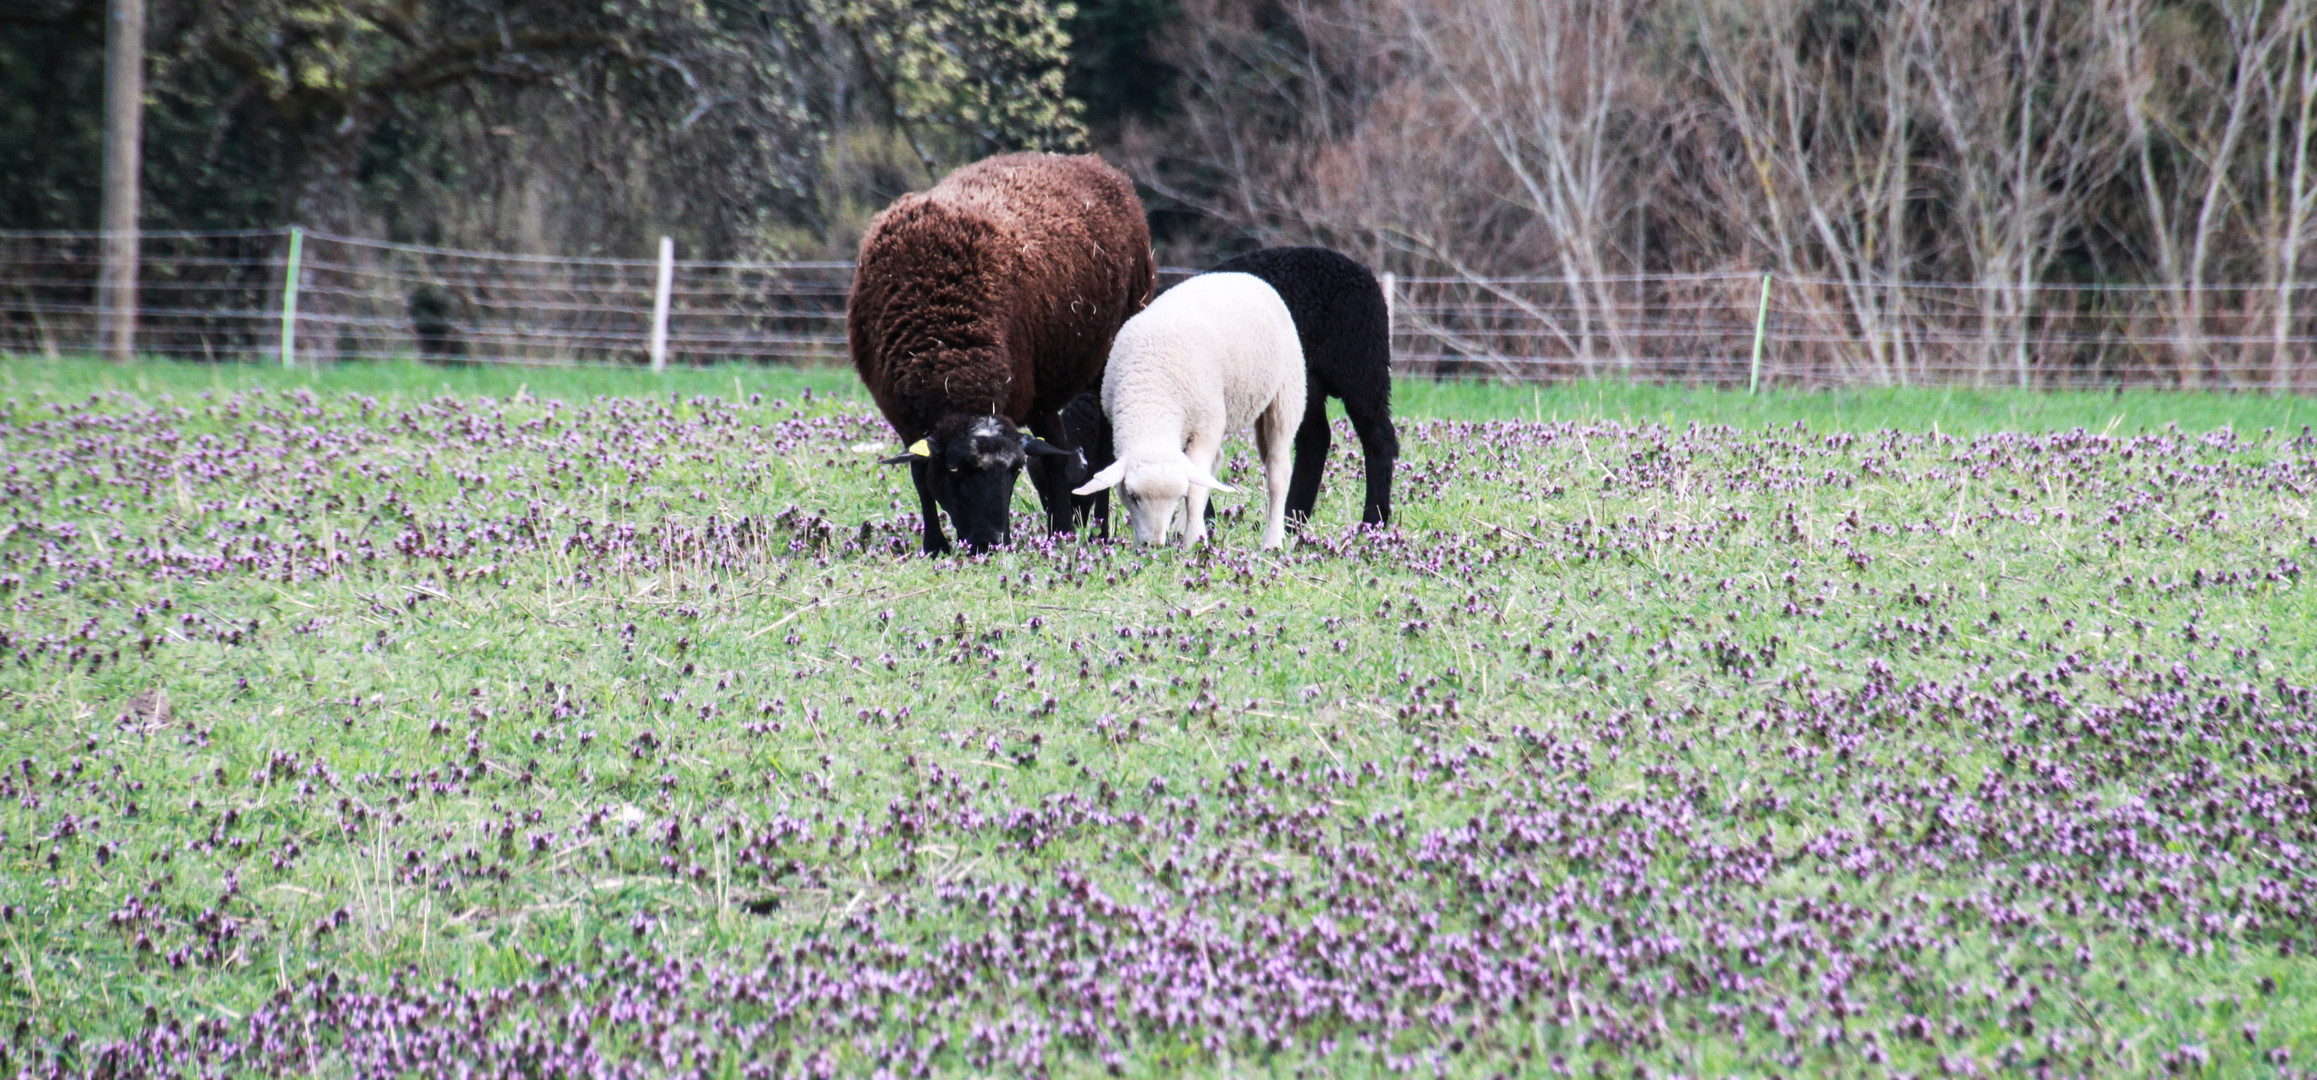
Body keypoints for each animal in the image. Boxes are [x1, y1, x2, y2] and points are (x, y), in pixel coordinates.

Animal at [848, 151, 1153, 551]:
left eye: (1014, 470)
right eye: (955, 469)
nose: (991, 543)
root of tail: (1089, 161)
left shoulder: (1032, 395)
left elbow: (1056, 459)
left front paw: (1062, 533)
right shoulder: (904, 416)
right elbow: (918, 472)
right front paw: (935, 545)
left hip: (1105, 353)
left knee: (1099, 451)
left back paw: (1095, 530)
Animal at [1065, 270, 1306, 549]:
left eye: (1177, 496)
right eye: (1132, 496)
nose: (1153, 545)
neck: (1153, 400)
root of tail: (1243, 275)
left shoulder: (1206, 427)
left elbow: (1195, 490)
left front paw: (1194, 540)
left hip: (1285, 395)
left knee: (1278, 469)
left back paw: (1272, 540)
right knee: (1214, 463)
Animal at [1214, 244, 1390, 523]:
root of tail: (1364, 273)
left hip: (1362, 368)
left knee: (1379, 438)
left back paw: (1373, 520)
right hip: (1310, 380)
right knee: (1315, 439)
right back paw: (1293, 518)